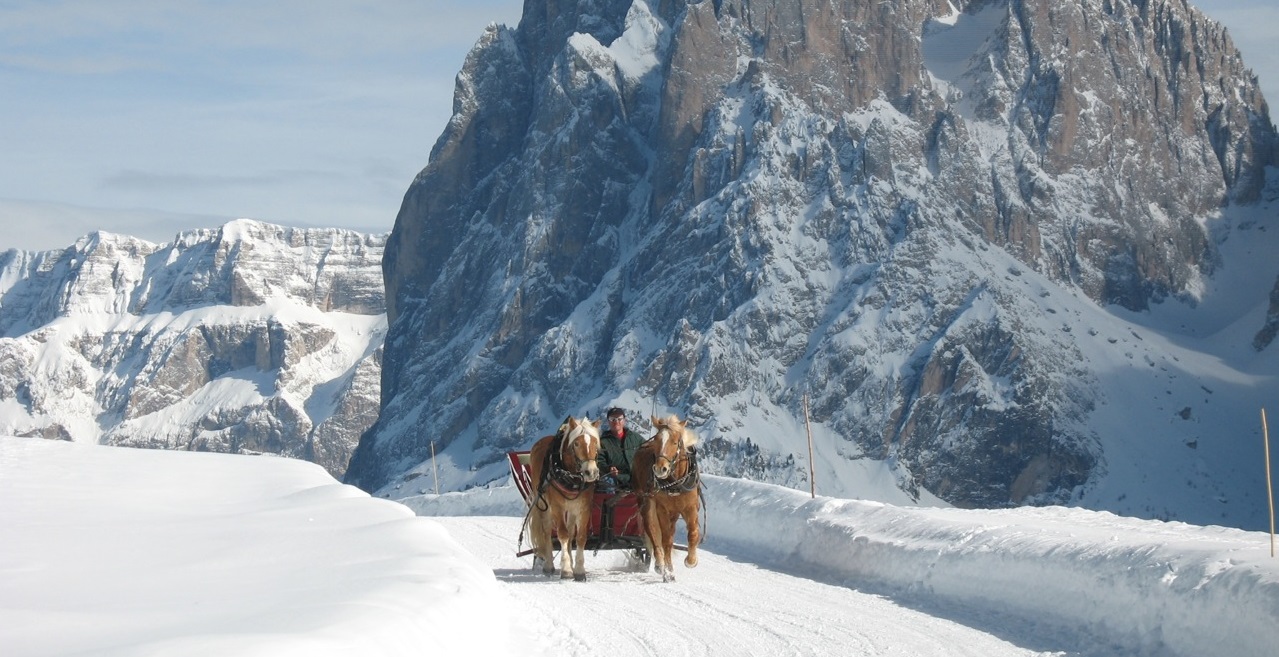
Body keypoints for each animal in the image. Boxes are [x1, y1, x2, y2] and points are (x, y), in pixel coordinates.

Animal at [524, 414, 598, 577]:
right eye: (576, 443)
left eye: (596, 443)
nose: (591, 472)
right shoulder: (557, 506)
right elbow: (562, 534)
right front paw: (566, 569)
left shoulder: (584, 507)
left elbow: (580, 536)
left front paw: (579, 570)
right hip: (543, 504)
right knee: (547, 531)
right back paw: (549, 565)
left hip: (571, 507)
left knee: (571, 531)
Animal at [629, 411, 700, 580]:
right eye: (657, 440)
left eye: (675, 442)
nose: (660, 469)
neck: (675, 482)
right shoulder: (662, 509)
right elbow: (665, 540)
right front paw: (667, 571)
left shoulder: (690, 507)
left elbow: (693, 533)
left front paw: (691, 560)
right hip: (646, 502)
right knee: (653, 530)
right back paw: (661, 564)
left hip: (674, 513)